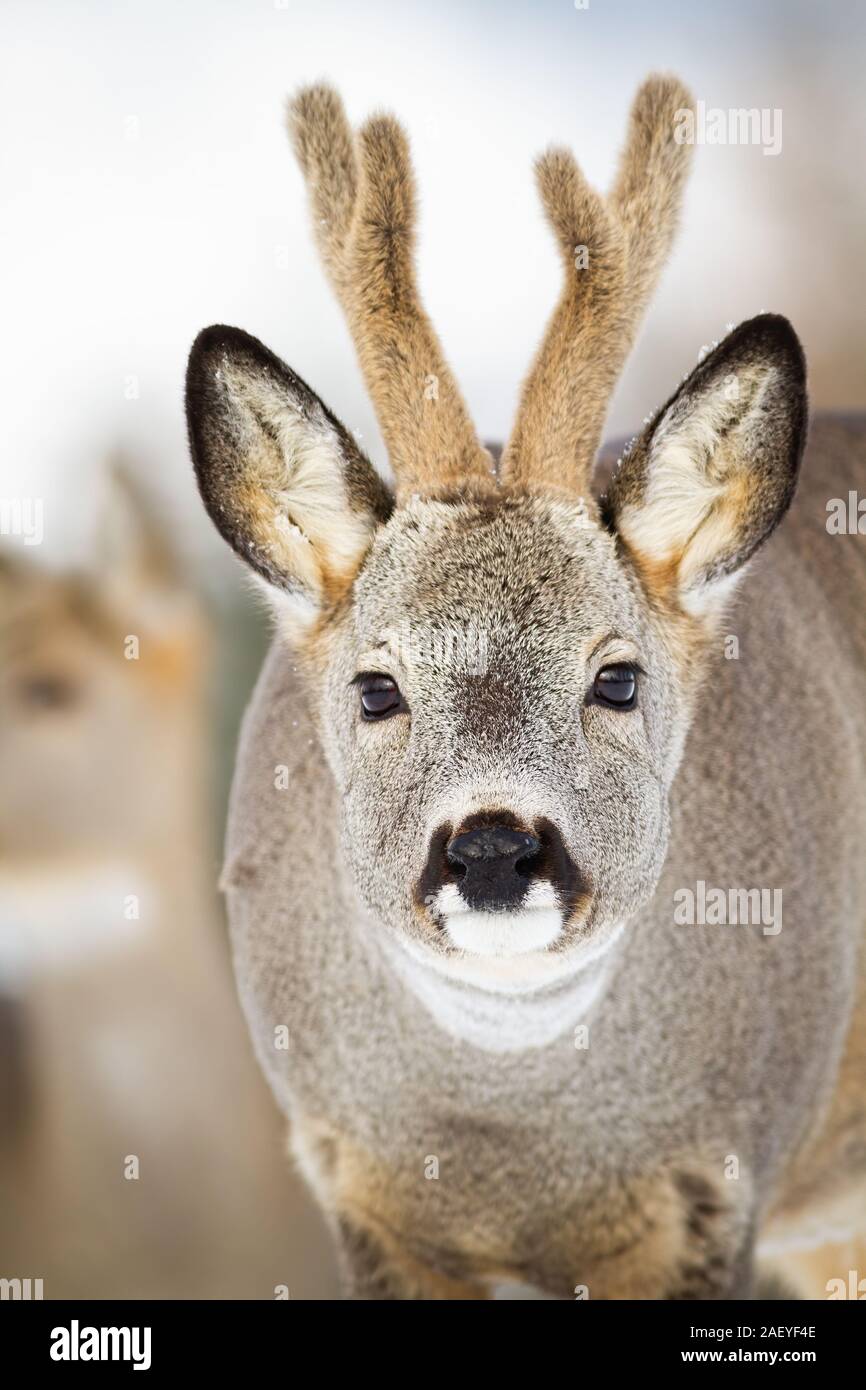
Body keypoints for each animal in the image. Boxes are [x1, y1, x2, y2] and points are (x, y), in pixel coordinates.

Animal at [184, 75, 866, 1299]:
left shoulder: (715, 1191)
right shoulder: (366, 1196)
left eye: (618, 678)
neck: (509, 1143)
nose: (495, 846)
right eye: (375, 688)